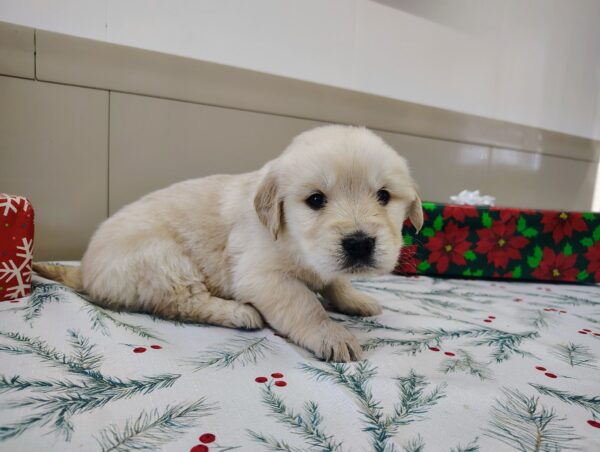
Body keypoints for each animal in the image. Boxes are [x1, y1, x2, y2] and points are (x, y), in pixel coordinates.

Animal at [34, 125, 422, 362]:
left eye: (384, 196)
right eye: (315, 200)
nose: (359, 244)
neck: (296, 244)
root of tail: (85, 271)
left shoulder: (323, 264)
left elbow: (335, 281)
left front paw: (356, 299)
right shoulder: (263, 276)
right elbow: (304, 305)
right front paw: (331, 334)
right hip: (162, 257)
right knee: (181, 303)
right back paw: (239, 313)